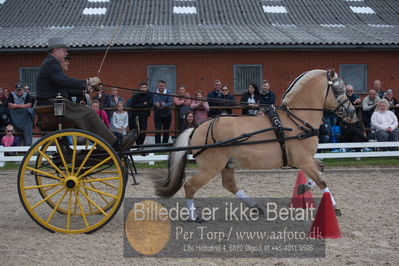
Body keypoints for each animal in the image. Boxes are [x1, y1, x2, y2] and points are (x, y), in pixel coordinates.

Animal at [155, 69, 358, 220]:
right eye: (339, 90)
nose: (352, 113)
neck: (296, 120)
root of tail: (197, 128)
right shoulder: (303, 160)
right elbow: (322, 180)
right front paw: (335, 208)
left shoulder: (306, 159)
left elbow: (321, 168)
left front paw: (303, 188)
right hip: (211, 167)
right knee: (190, 186)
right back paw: (194, 216)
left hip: (227, 165)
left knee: (229, 184)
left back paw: (255, 206)